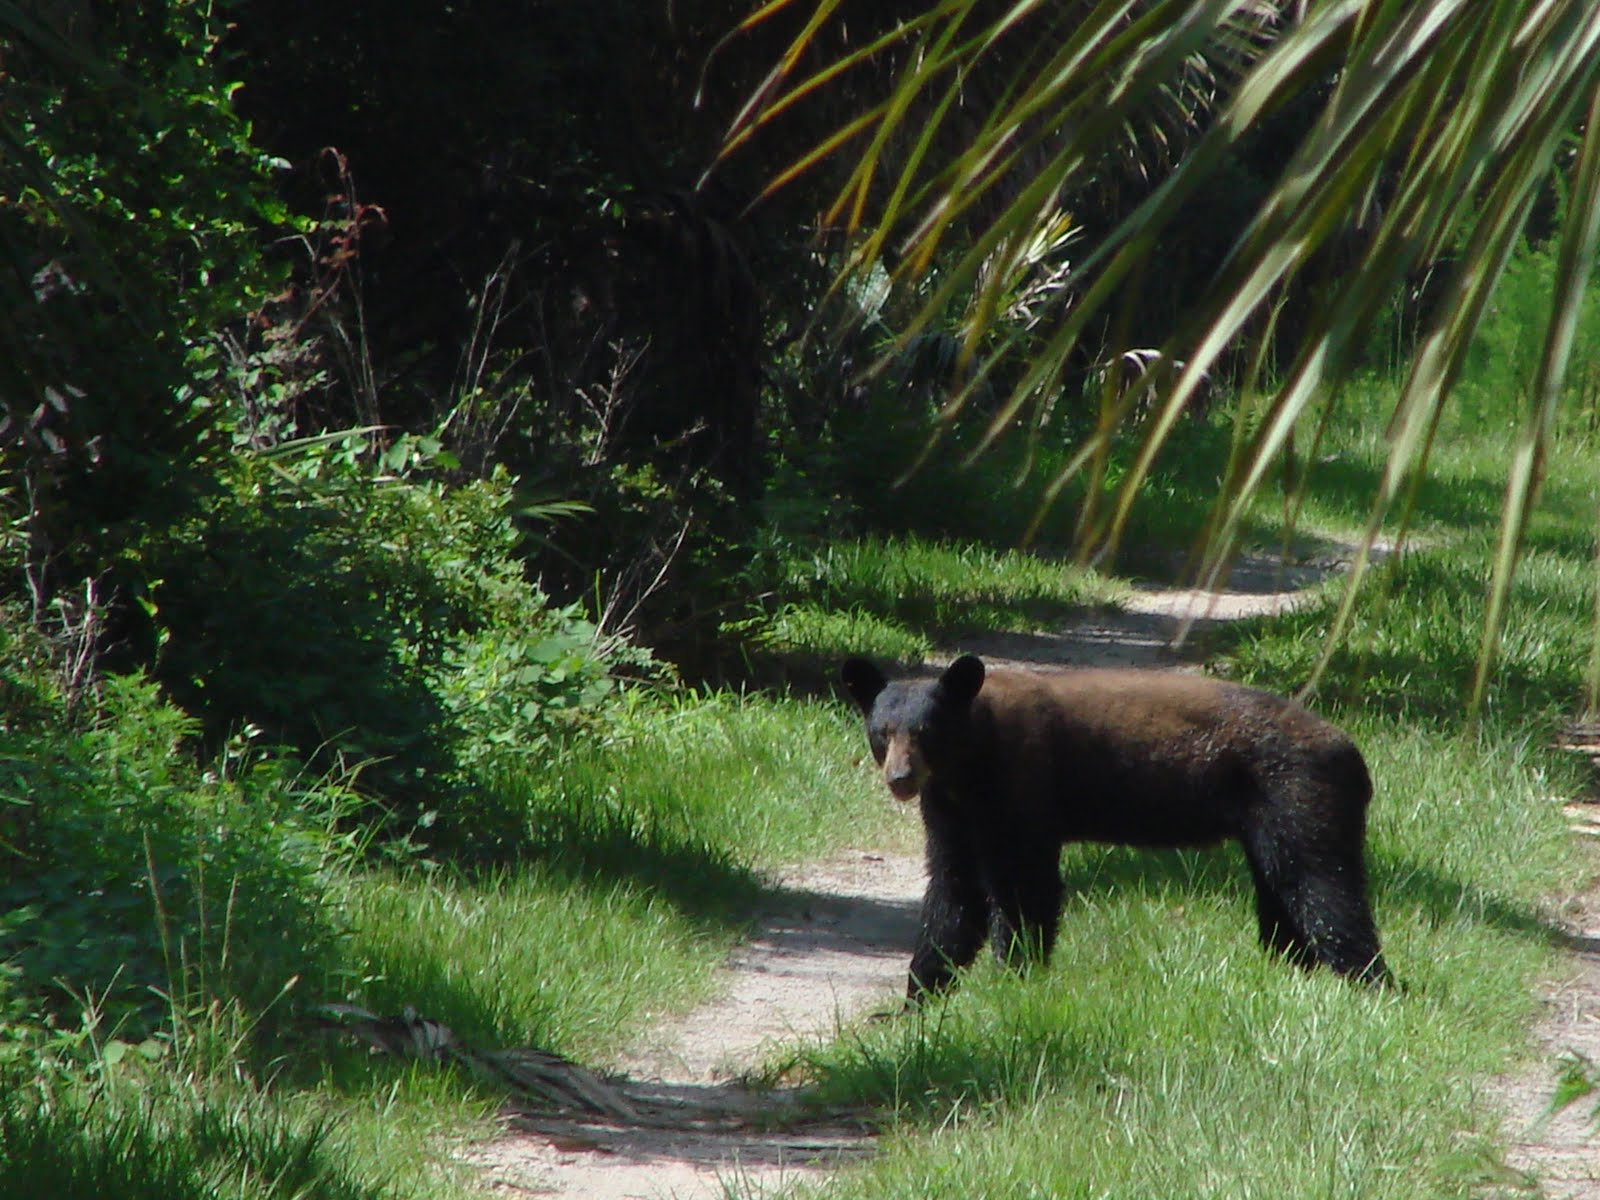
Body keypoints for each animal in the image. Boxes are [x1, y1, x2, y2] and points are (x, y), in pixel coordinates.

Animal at [840, 654, 1390, 1000]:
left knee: (1322, 888)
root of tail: (1355, 756)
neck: (968, 768)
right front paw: (919, 1002)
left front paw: (1015, 981)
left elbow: (1024, 890)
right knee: (1281, 896)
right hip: (1267, 823)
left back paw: (1370, 983)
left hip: (1297, 794)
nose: (901, 778)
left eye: (926, 732)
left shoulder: (1021, 790)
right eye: (882, 732)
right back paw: (1294, 972)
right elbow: (953, 896)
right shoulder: (952, 814)